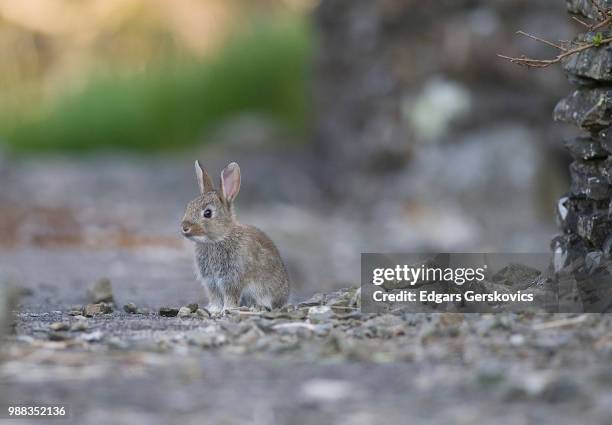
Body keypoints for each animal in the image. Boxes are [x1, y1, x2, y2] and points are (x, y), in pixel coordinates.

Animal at [180, 161, 290, 314]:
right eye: (189, 206)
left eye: (207, 213)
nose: (184, 227)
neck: (220, 238)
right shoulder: (211, 282)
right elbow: (215, 296)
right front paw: (214, 309)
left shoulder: (232, 279)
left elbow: (230, 295)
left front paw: (227, 309)